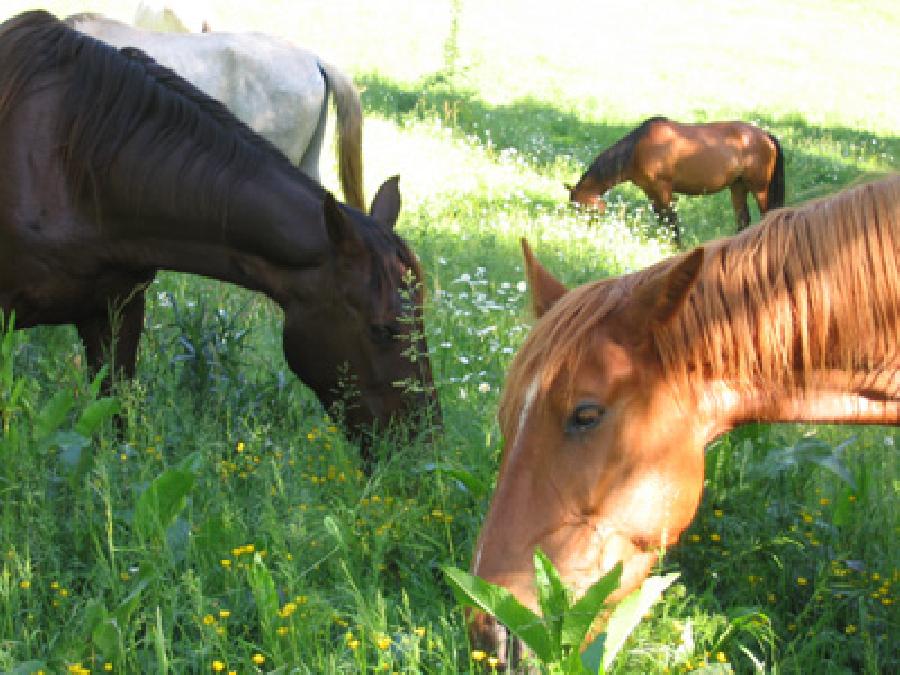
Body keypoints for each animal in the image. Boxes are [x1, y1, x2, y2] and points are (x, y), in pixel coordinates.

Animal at [572, 117, 784, 247]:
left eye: (583, 208)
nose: (584, 234)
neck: (637, 150)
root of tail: (766, 136)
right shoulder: (651, 192)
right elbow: (662, 219)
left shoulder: (664, 189)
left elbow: (671, 219)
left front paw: (677, 247)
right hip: (738, 186)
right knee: (743, 220)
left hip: (760, 188)